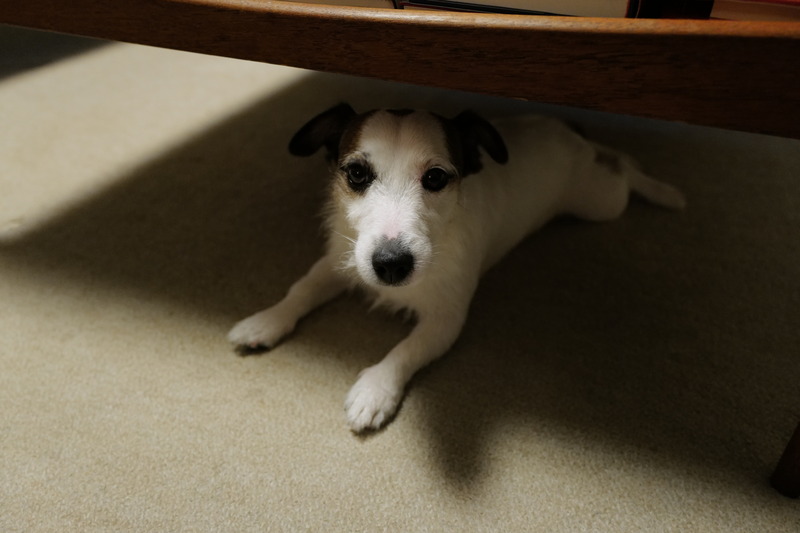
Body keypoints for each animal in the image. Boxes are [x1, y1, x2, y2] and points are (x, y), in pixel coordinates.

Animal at [228, 103, 685, 433]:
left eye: (435, 178)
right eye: (356, 173)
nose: (390, 265)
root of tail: (568, 133)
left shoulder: (445, 320)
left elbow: (405, 350)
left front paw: (376, 389)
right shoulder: (342, 262)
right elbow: (301, 289)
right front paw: (265, 321)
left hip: (600, 202)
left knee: (622, 170)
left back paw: (660, 188)